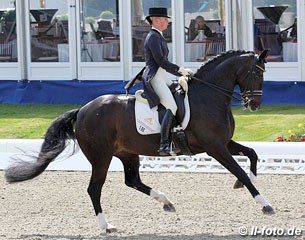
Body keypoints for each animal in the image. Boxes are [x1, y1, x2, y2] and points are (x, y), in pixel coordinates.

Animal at [4, 49, 270, 232]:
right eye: (256, 74)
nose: (254, 105)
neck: (208, 96)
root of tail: (82, 110)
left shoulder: (223, 142)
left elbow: (252, 154)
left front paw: (243, 183)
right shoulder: (214, 147)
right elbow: (240, 170)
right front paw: (265, 204)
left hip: (127, 153)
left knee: (132, 181)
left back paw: (166, 201)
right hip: (101, 158)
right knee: (94, 189)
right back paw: (107, 226)